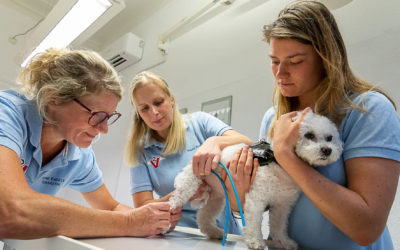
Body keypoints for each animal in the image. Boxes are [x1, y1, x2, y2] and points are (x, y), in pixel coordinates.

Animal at [170, 111, 342, 250]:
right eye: (309, 135)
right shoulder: (256, 200)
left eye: (329, 138)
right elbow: (254, 223)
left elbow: (279, 226)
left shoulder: (282, 205)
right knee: (176, 198)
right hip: (189, 182)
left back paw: (215, 232)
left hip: (217, 198)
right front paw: (256, 241)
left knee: (203, 216)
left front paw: (284, 242)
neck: (279, 165)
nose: (327, 150)